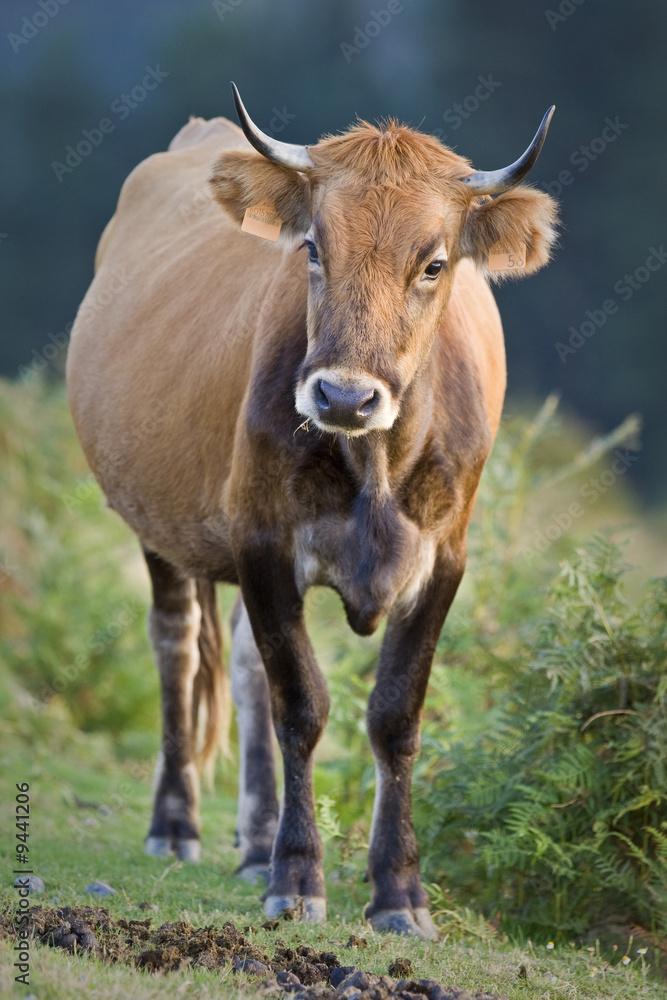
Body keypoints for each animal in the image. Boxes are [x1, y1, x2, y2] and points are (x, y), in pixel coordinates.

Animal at [68, 86, 560, 936]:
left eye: (433, 263)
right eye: (313, 250)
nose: (342, 396)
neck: (376, 467)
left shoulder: (443, 561)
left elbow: (394, 716)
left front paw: (398, 893)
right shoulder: (263, 542)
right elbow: (300, 704)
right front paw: (297, 877)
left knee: (237, 666)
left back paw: (252, 840)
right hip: (155, 521)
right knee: (177, 645)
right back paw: (176, 824)